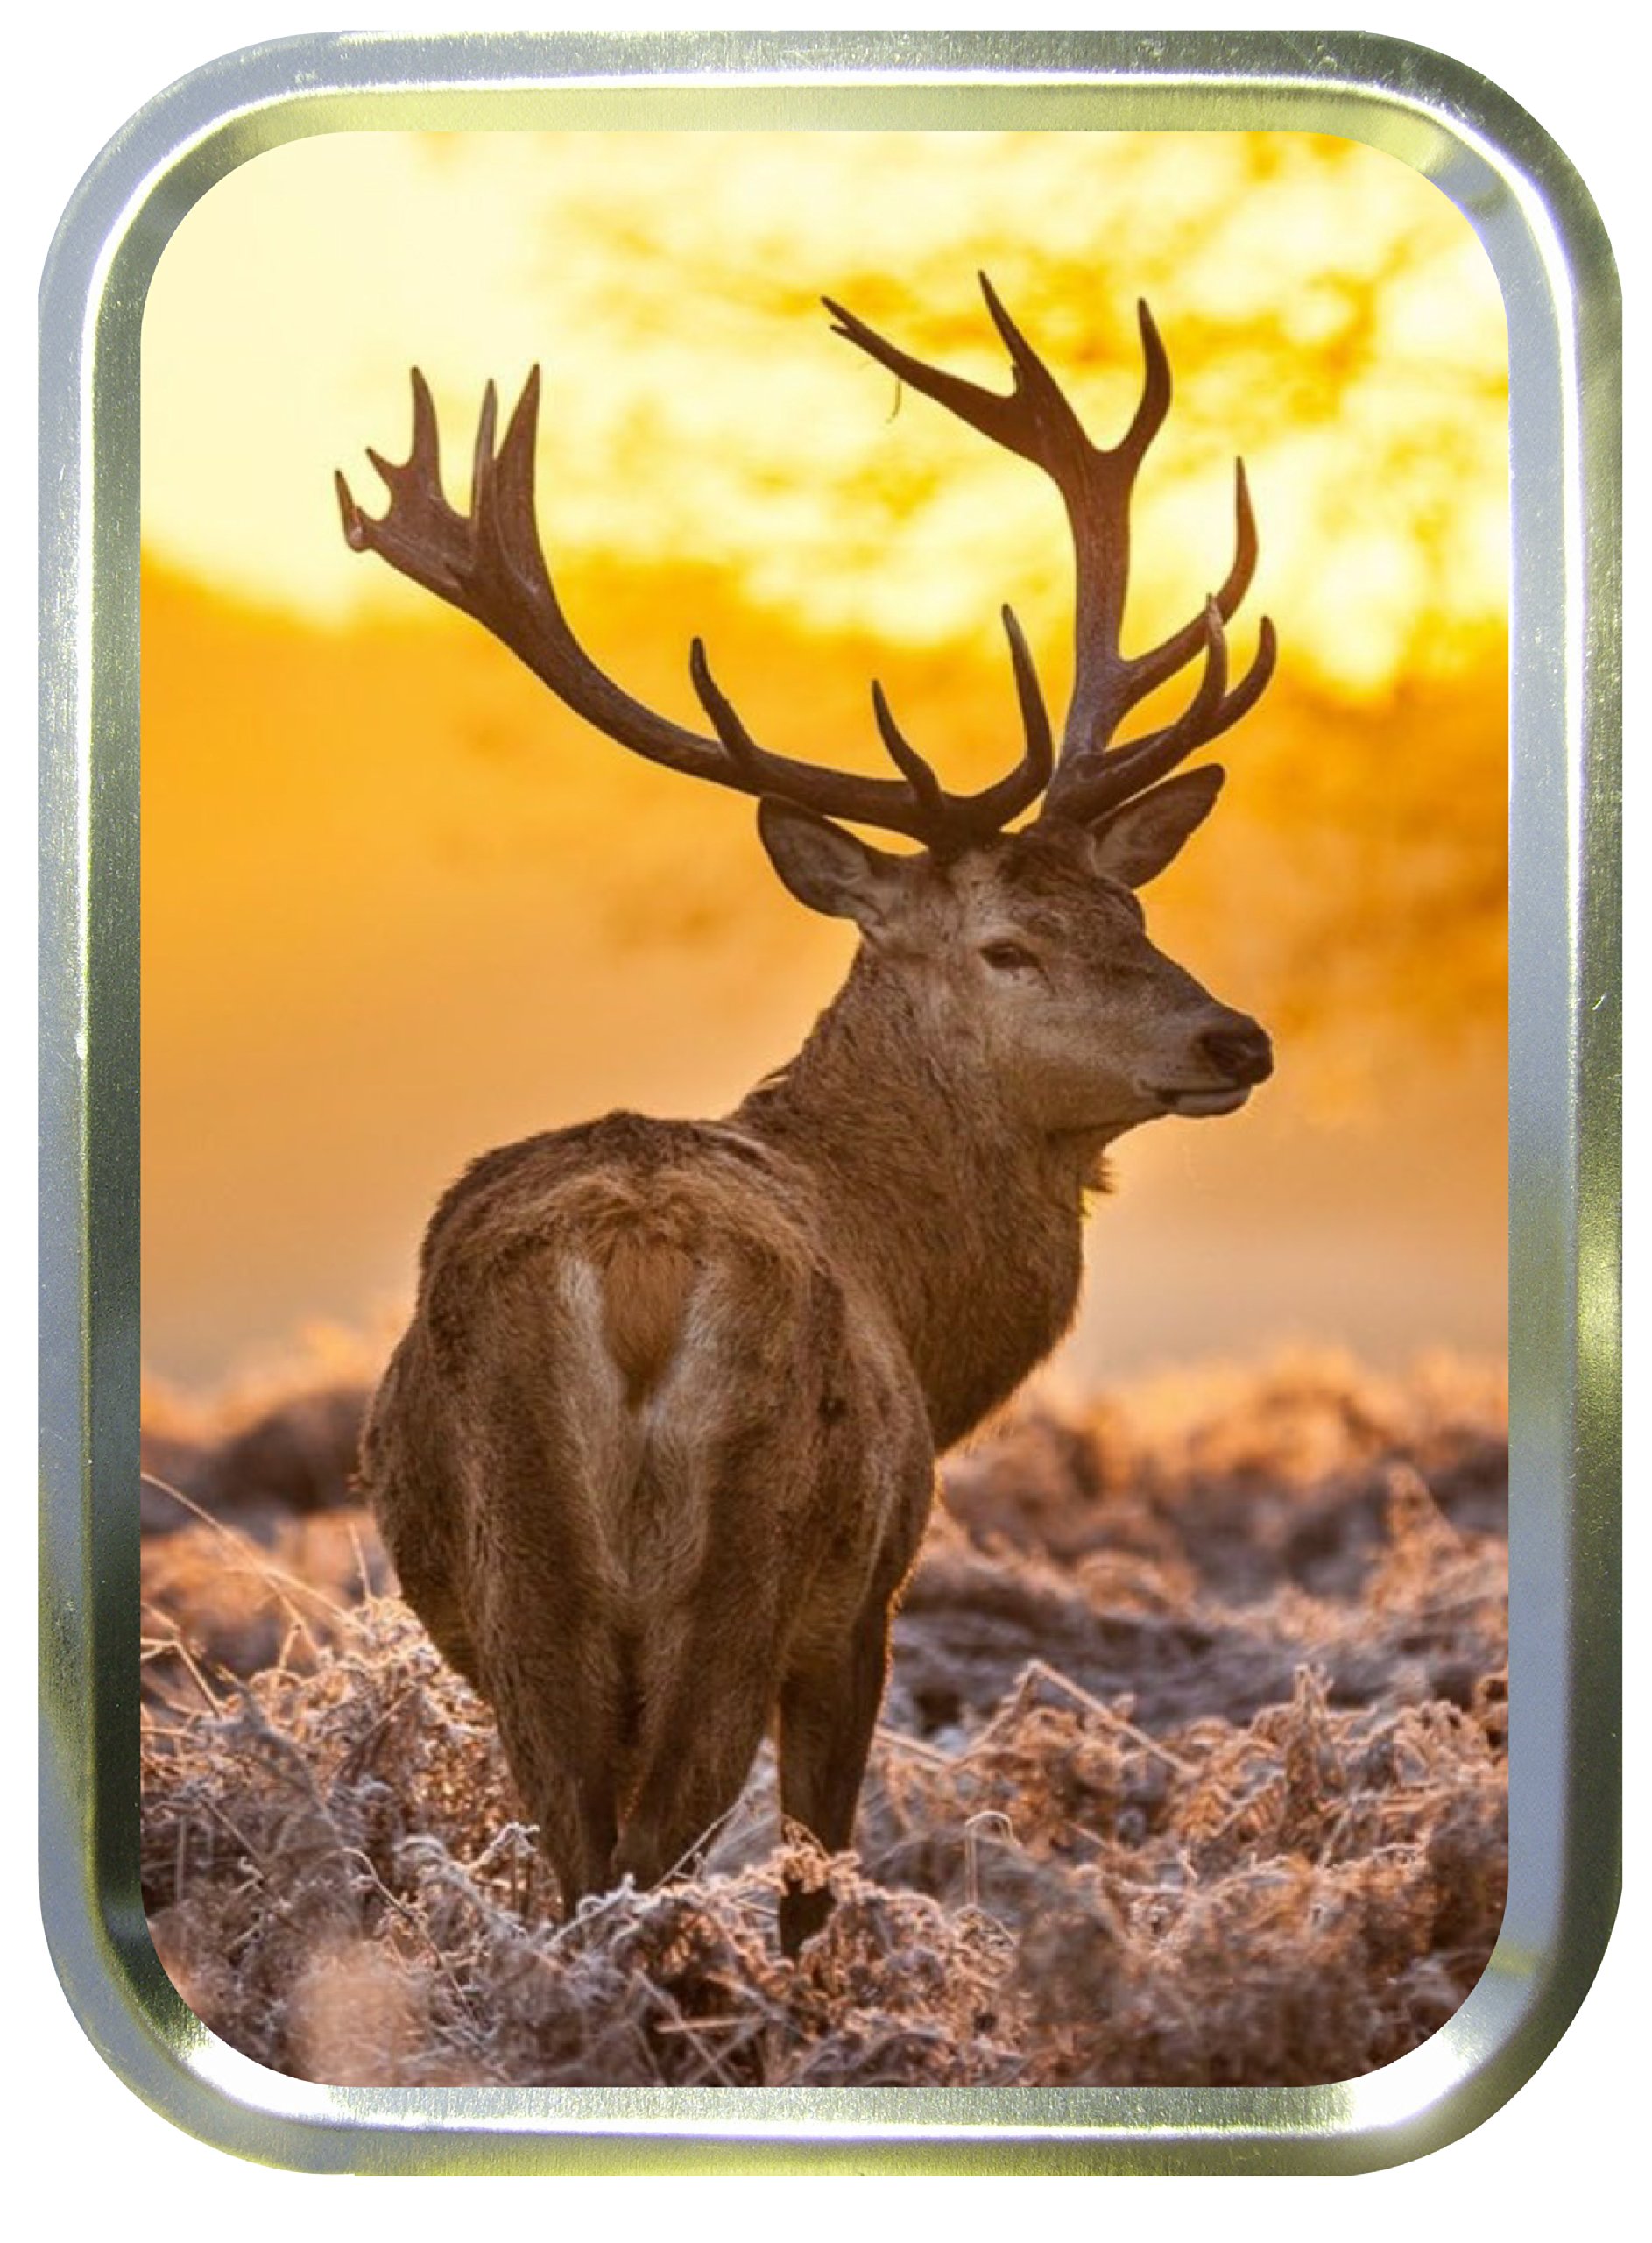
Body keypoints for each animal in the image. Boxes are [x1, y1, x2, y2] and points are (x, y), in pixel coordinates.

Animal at [338, 278, 1276, 1955]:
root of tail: (635, 1268)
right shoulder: (868, 1601)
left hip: (525, 1589)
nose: (1235, 1035)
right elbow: (814, 1881)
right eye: (1007, 945)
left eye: (1130, 908)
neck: (923, 1298)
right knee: (652, 1852)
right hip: (751, 1561)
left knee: (580, 1852)